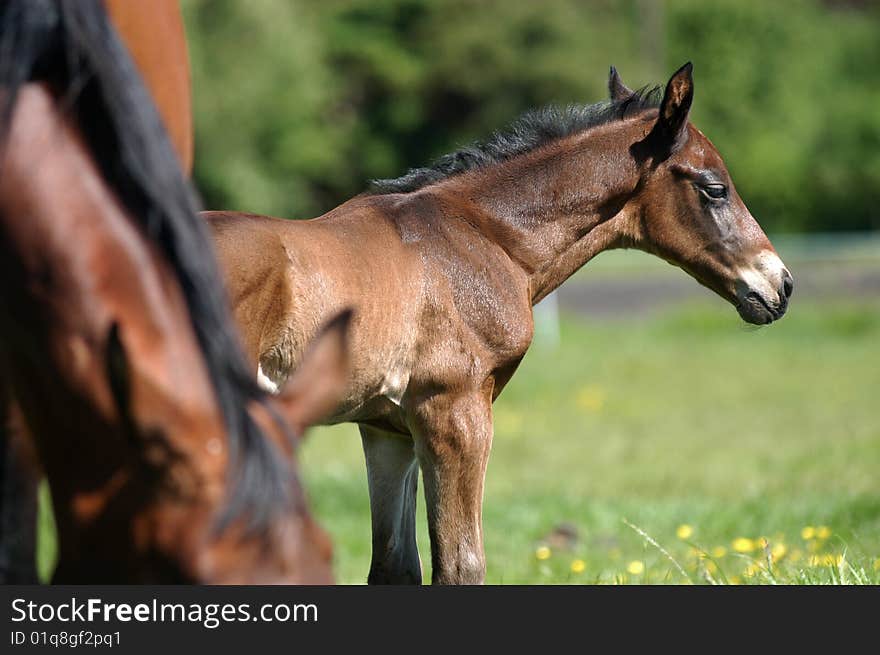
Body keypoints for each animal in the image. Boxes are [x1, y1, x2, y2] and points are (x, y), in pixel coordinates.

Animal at [205, 62, 792, 584]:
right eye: (714, 188)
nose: (781, 285)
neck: (483, 240)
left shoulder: (385, 429)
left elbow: (395, 567)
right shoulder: (455, 411)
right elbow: (461, 565)